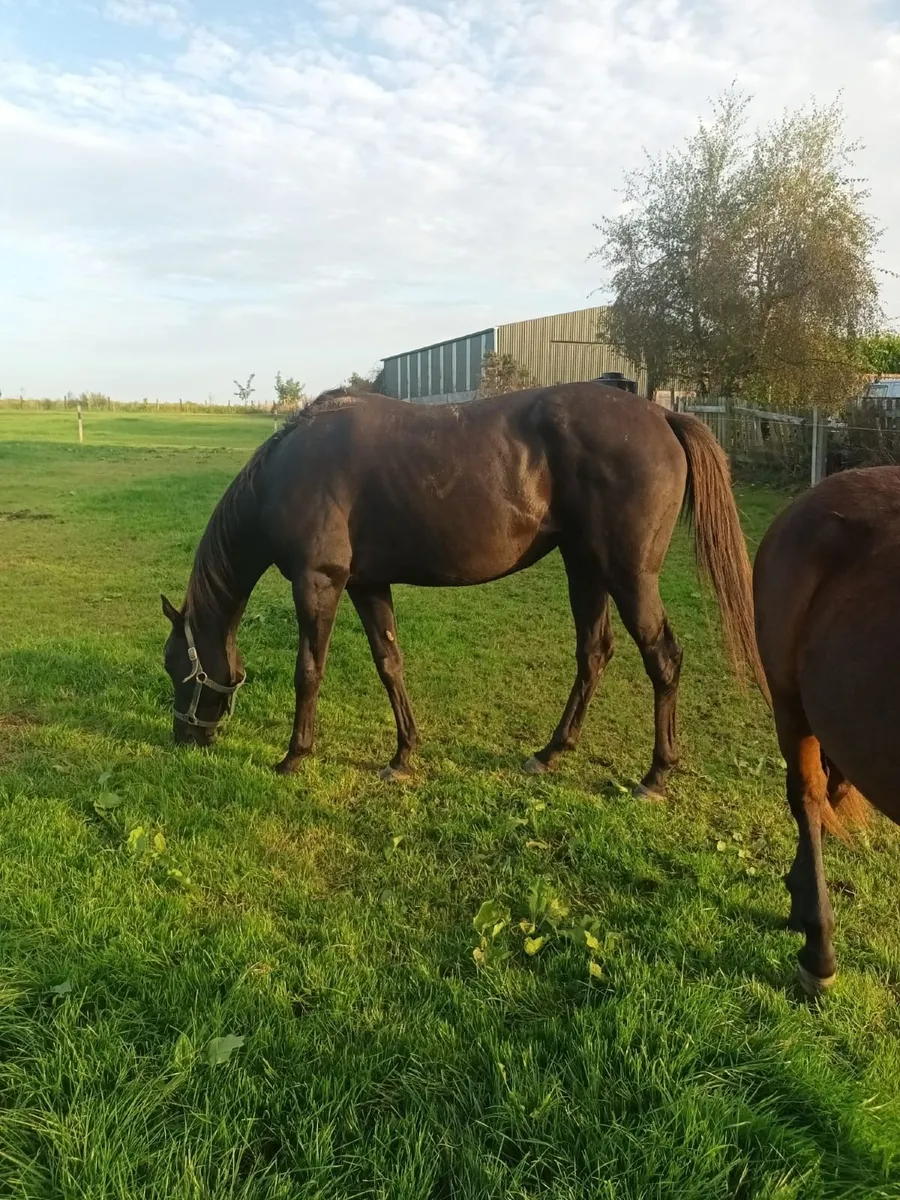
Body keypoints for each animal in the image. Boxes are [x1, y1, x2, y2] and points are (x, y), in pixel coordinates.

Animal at [162, 382, 765, 795]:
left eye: (175, 667)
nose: (184, 736)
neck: (287, 473)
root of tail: (662, 413)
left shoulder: (318, 584)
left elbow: (308, 670)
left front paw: (294, 755)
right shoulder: (367, 584)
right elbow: (389, 663)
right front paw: (403, 755)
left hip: (629, 576)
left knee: (663, 658)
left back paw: (656, 774)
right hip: (585, 568)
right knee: (594, 654)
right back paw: (551, 752)